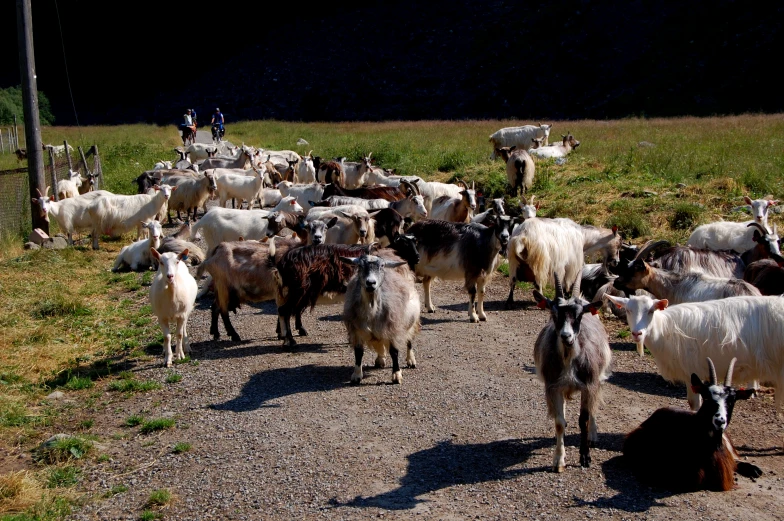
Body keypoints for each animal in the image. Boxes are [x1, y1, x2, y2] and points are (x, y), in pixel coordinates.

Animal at [340, 254, 420, 384]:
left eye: (381, 266)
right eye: (360, 266)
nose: (371, 283)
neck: (372, 309)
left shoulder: (393, 328)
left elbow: (394, 352)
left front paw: (396, 375)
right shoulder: (356, 330)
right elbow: (358, 352)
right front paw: (356, 375)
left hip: (409, 322)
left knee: (409, 340)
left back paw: (410, 360)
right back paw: (380, 359)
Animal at [532, 276, 612, 472]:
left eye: (579, 315)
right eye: (554, 313)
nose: (566, 336)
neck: (569, 358)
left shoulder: (588, 386)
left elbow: (583, 420)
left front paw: (585, 457)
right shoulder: (553, 387)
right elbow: (559, 422)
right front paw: (559, 460)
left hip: (599, 379)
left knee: (594, 406)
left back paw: (592, 436)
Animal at [608, 292, 784, 410]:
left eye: (651, 311)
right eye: (628, 310)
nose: (637, 333)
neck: (664, 329)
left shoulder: (692, 370)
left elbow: (694, 404)